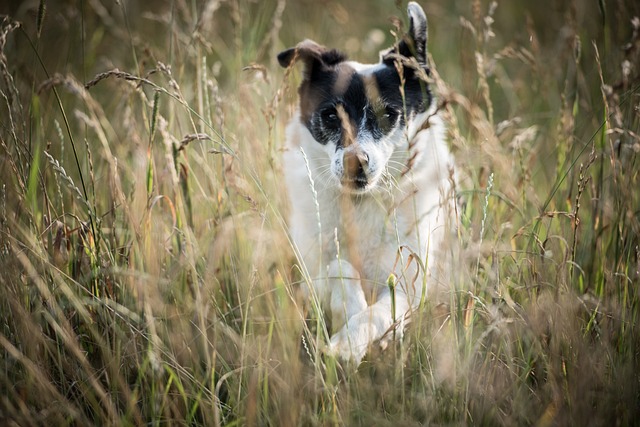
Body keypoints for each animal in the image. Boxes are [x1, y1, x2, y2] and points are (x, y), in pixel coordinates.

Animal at [278, 2, 456, 364]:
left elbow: (382, 311)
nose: (354, 161)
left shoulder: (411, 281)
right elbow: (340, 266)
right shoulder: (312, 273)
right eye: (330, 116)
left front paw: (350, 342)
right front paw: (350, 316)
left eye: (389, 114)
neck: (359, 204)